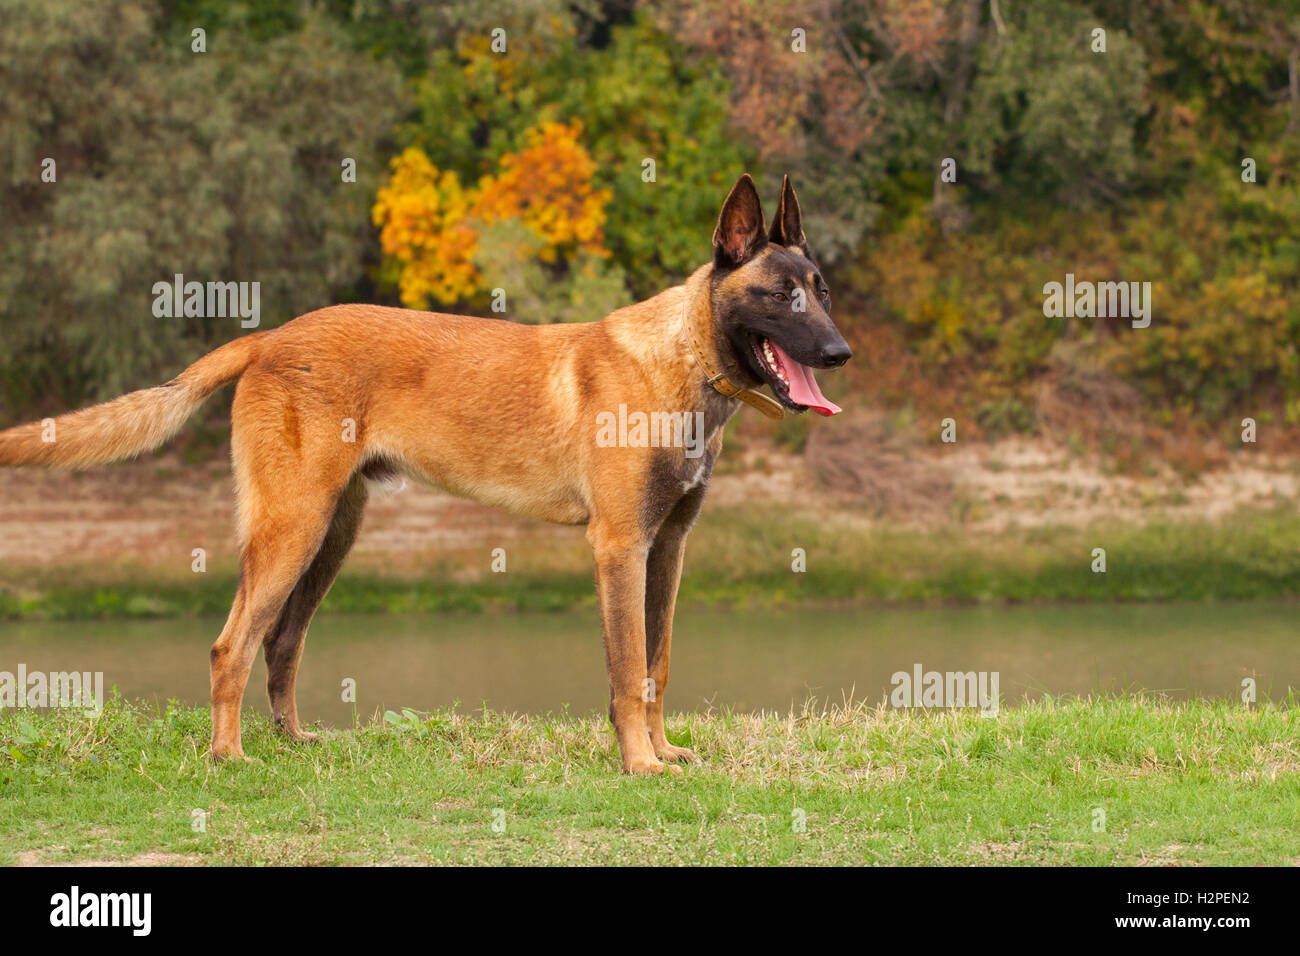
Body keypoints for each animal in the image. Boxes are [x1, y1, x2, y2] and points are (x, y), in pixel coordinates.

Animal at [0, 171, 852, 775]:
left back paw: (292, 743)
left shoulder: (667, 549)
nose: (841, 352)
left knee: (281, 641)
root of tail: (270, 337)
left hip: (331, 534)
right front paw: (640, 764)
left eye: (823, 291)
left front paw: (663, 750)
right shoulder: (618, 548)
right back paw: (228, 756)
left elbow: (658, 665)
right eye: (782, 295)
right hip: (292, 526)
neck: (680, 362)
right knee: (231, 643)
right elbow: (625, 667)